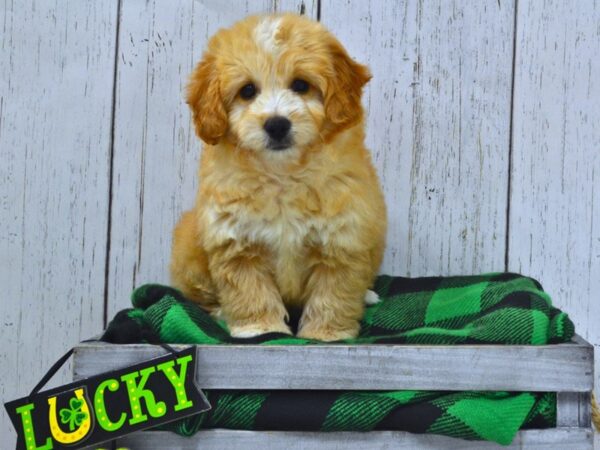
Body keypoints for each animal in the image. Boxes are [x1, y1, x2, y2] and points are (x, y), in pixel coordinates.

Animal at [169, 14, 386, 342]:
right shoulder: (235, 239)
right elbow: (249, 289)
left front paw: (327, 333)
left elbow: (334, 291)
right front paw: (259, 328)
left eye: (301, 85)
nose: (276, 125)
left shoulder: (343, 236)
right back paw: (220, 312)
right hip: (188, 250)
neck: (283, 175)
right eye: (247, 91)